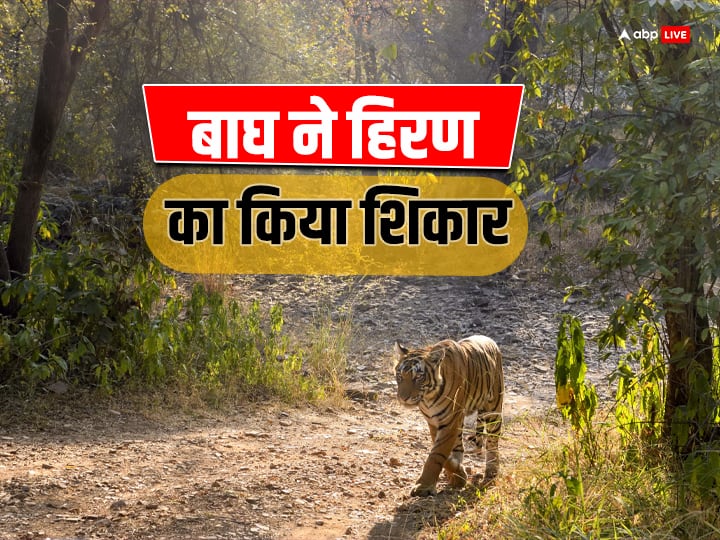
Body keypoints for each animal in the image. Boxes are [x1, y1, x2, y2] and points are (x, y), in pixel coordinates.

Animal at [394, 335, 504, 497]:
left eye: (419, 377)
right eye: (400, 376)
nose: (403, 398)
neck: (428, 398)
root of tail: (490, 340)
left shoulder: (449, 421)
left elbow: (436, 454)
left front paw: (423, 486)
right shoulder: (434, 422)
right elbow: (441, 452)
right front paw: (458, 474)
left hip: (493, 409)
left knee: (492, 442)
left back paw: (491, 471)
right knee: (460, 446)